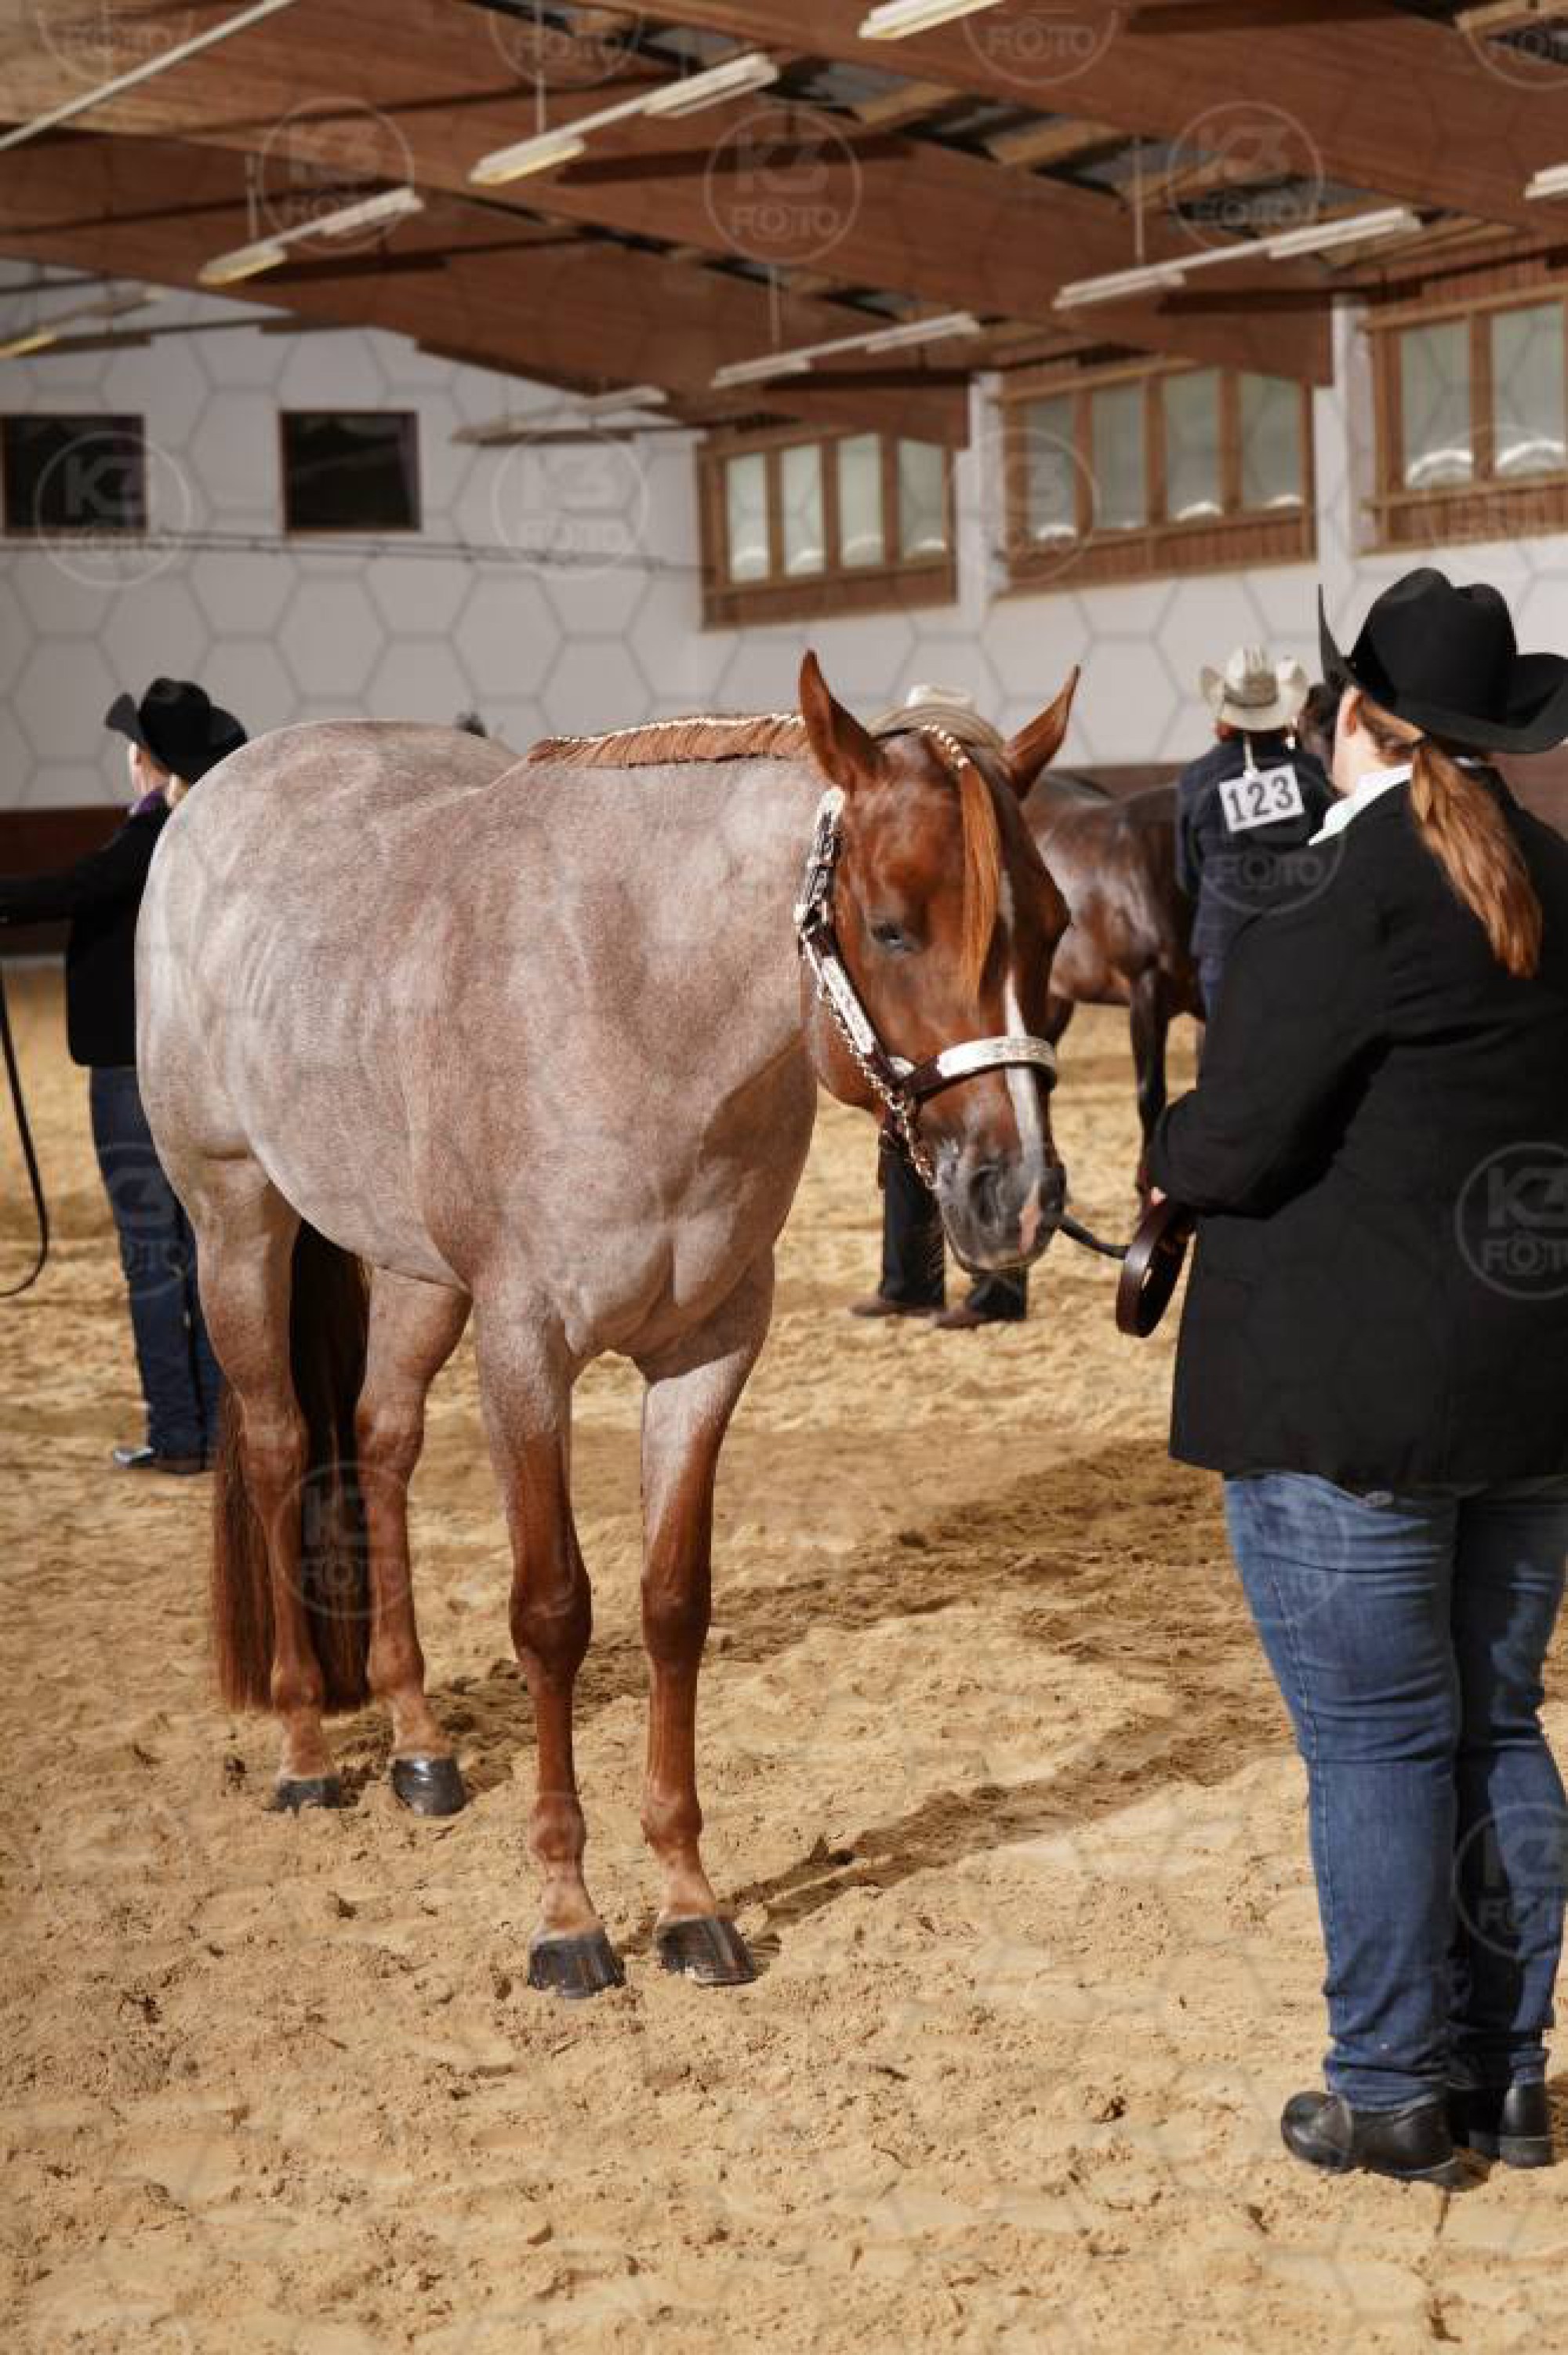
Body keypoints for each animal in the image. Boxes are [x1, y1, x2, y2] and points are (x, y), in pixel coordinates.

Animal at [135, 654, 1082, 1999]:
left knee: (378, 1440)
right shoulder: (527, 1352)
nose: (1021, 1197)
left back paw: (418, 1742)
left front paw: (689, 1900)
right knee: (277, 1447)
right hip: (238, 1221)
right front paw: (570, 1918)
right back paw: (309, 1753)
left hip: (417, 1273)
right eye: (894, 925)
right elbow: (552, 1610)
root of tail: (225, 791)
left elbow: (672, 1605)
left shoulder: (708, 1350)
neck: (637, 999)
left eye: (1049, 927)